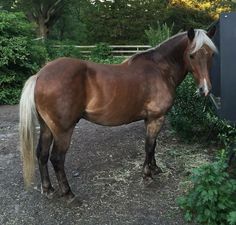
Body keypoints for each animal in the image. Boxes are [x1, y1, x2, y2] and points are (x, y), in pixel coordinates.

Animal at [19, 27, 217, 205]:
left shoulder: (151, 119)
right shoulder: (156, 118)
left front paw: (155, 168)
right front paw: (147, 176)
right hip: (63, 131)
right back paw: (69, 195)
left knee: (42, 154)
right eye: (192, 55)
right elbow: (149, 146)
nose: (205, 90)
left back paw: (48, 189)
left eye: (211, 55)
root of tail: (40, 75)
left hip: (46, 127)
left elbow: (153, 145)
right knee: (57, 159)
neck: (160, 69)